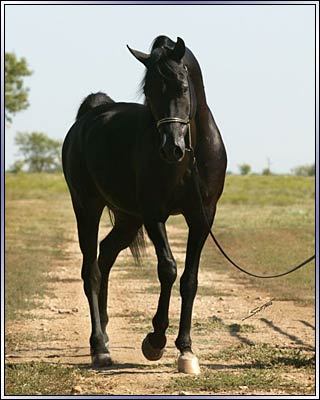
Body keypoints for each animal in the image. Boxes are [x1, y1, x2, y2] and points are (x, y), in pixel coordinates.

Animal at [62, 36, 228, 374]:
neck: (191, 158)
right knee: (91, 271)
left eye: (181, 87)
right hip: (87, 208)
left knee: (106, 256)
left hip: (128, 218)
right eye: (149, 91)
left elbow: (190, 279)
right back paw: (99, 347)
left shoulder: (202, 218)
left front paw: (186, 349)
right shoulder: (154, 215)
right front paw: (155, 340)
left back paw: (106, 334)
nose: (171, 148)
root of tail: (88, 117)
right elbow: (168, 269)